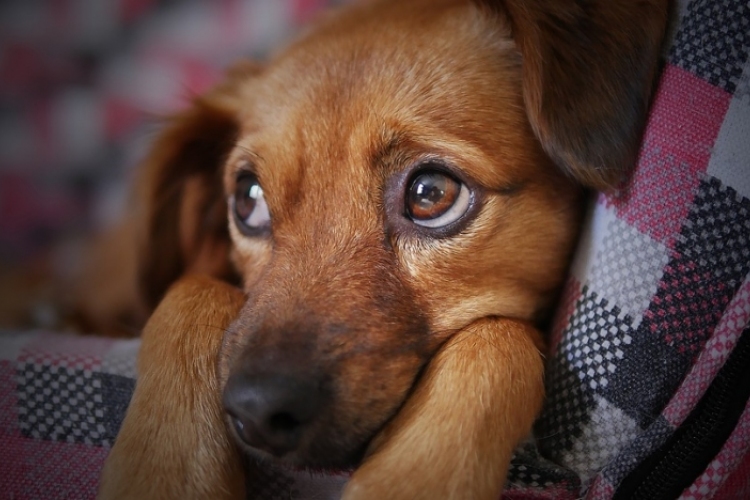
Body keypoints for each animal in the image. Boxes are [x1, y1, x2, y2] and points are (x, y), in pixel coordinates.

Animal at [95, 0, 668, 496]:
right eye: (248, 199)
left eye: (431, 194)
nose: (257, 412)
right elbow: (191, 289)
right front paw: (163, 471)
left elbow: (498, 337)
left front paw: (412, 477)